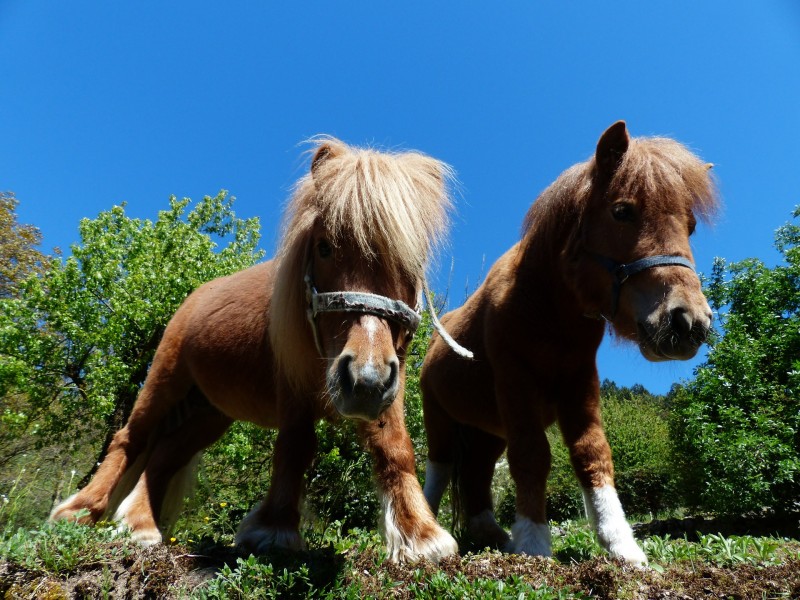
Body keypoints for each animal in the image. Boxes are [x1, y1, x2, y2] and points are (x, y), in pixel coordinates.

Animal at [50, 136, 460, 564]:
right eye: (324, 248)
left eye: (411, 259)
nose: (364, 379)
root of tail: (194, 297)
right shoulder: (294, 387)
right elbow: (295, 446)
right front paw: (274, 530)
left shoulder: (387, 382)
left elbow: (395, 448)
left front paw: (418, 533)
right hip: (166, 379)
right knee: (131, 438)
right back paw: (80, 511)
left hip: (208, 412)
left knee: (164, 455)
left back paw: (141, 524)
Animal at [418, 120, 720, 564]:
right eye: (622, 211)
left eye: (691, 226)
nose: (690, 322)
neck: (546, 308)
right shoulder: (516, 383)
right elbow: (532, 455)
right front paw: (533, 542)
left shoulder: (579, 385)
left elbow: (592, 453)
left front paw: (620, 544)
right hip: (439, 418)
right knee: (438, 470)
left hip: (487, 429)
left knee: (476, 473)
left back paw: (490, 532)